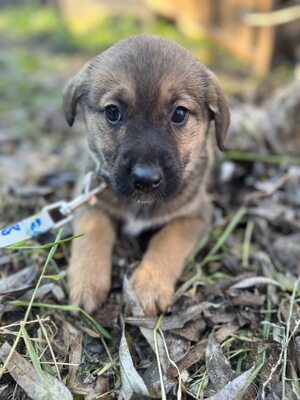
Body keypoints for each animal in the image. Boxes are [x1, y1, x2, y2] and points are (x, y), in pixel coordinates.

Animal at [63, 34, 230, 316]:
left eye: (179, 113)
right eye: (113, 112)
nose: (146, 180)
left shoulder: (196, 214)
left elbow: (168, 240)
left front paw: (148, 287)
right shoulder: (90, 200)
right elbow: (92, 234)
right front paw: (86, 284)